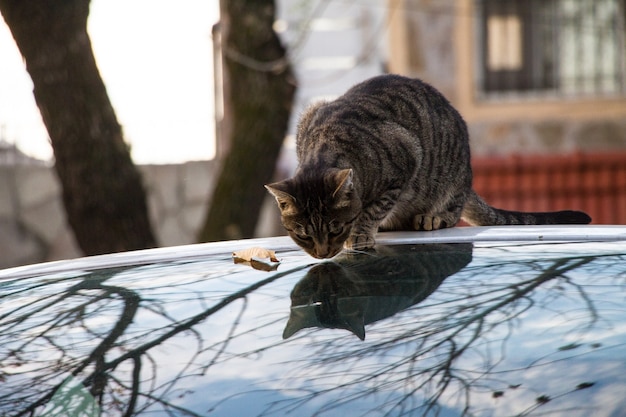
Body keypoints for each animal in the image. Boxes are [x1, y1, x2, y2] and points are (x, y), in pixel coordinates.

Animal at [264, 74, 588, 256]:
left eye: (335, 229)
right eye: (303, 234)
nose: (322, 253)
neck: (326, 146)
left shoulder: (407, 156)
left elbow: (373, 209)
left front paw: (360, 233)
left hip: (451, 176)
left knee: (453, 209)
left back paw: (433, 217)